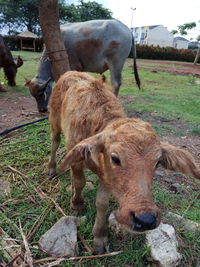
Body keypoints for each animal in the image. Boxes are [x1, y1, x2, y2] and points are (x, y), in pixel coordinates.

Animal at [48, 71, 200, 255]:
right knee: (54, 141)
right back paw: (51, 168)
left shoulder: (107, 178)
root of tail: (71, 72)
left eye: (157, 163)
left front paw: (99, 237)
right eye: (115, 158)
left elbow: (102, 203)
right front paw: (77, 204)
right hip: (54, 120)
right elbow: (79, 182)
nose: (145, 219)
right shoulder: (76, 159)